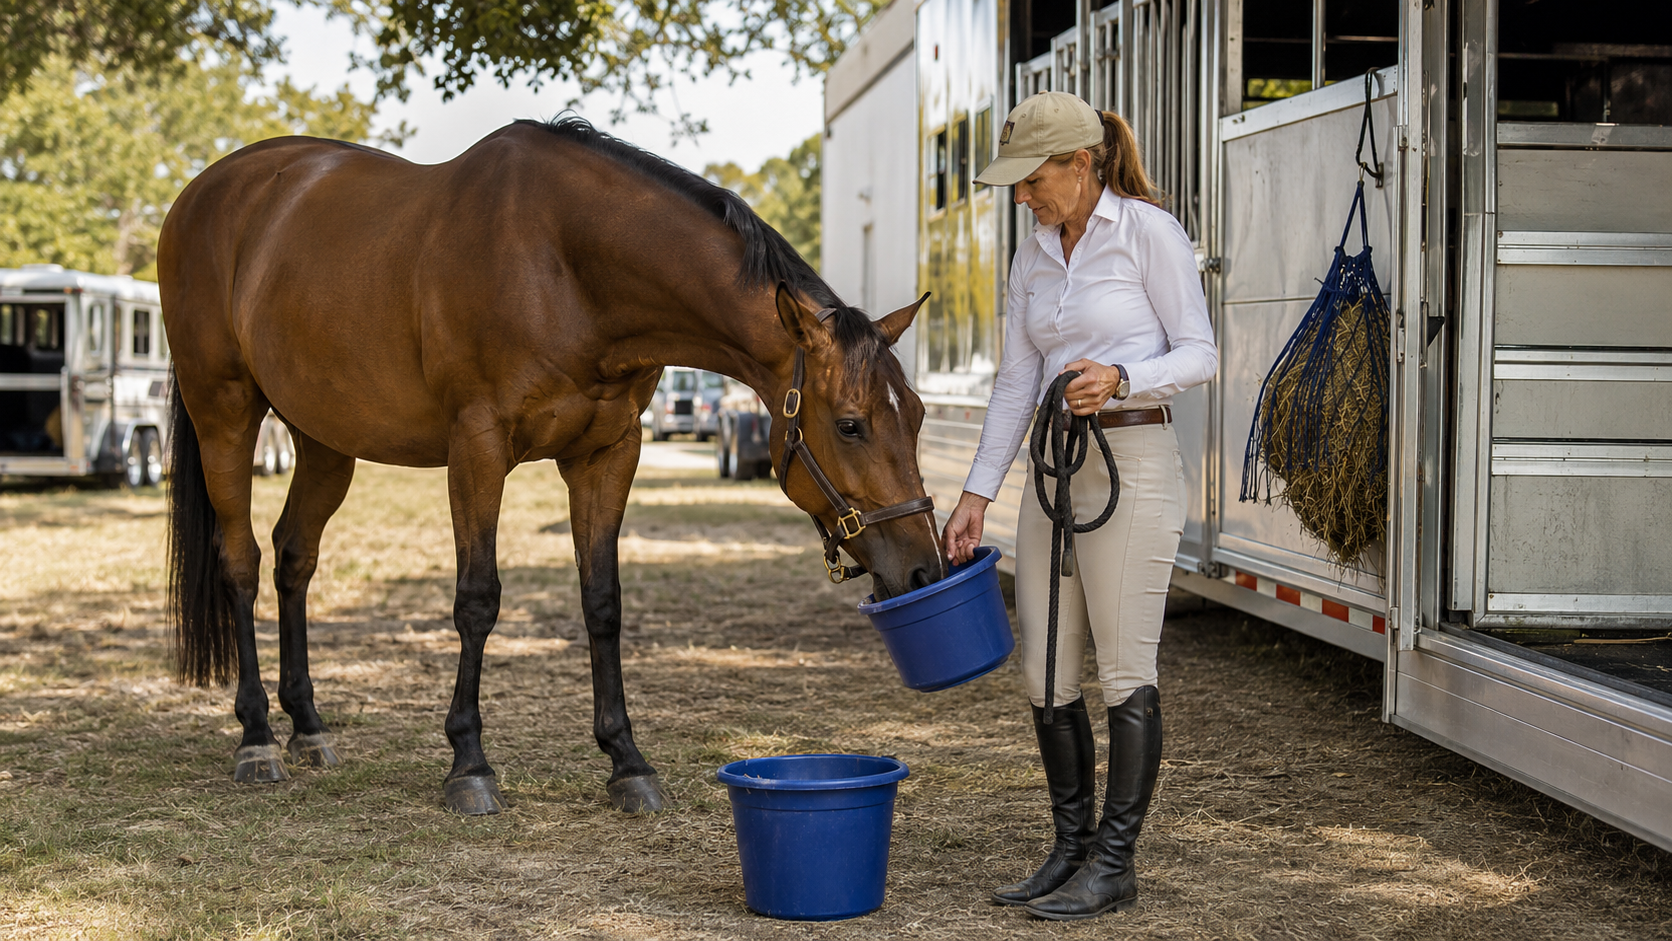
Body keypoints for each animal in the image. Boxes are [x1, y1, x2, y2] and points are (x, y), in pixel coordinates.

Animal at [156, 116, 944, 815]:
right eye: (850, 425)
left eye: (918, 415)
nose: (924, 570)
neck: (566, 265)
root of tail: (205, 192)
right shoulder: (478, 447)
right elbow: (477, 599)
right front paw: (469, 764)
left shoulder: (606, 454)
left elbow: (603, 601)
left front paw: (627, 761)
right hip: (225, 414)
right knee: (241, 562)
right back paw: (257, 737)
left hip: (324, 441)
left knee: (295, 557)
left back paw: (309, 727)